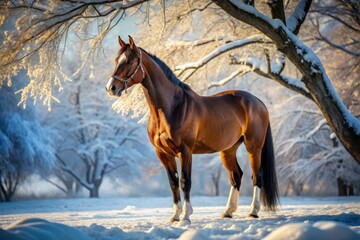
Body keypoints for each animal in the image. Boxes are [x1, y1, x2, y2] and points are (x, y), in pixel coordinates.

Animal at [105, 35, 280, 225]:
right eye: (116, 60)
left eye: (130, 61)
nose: (111, 87)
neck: (171, 107)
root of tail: (257, 102)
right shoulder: (163, 153)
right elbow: (173, 183)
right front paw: (175, 216)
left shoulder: (185, 151)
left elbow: (184, 182)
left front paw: (186, 216)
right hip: (228, 150)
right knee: (236, 176)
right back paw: (228, 212)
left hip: (253, 147)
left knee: (257, 176)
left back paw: (253, 212)